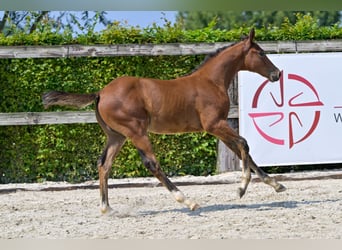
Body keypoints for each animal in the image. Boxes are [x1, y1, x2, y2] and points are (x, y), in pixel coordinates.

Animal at [42, 28, 286, 213]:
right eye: (261, 53)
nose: (277, 74)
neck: (211, 81)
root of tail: (100, 93)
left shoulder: (220, 127)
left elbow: (244, 151)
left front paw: (276, 184)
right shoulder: (215, 125)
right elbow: (244, 144)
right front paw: (241, 189)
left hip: (117, 136)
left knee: (104, 164)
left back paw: (107, 208)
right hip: (136, 132)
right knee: (152, 164)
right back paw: (187, 201)